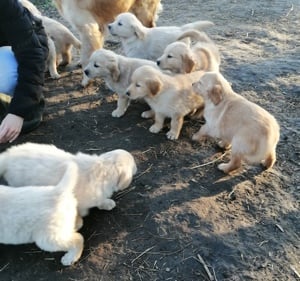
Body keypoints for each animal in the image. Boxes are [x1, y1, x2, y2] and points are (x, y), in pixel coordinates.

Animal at [0, 142, 138, 221]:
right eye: (133, 165)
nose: (137, 168)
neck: (102, 168)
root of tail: (7, 156)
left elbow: (100, 200)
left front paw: (106, 203)